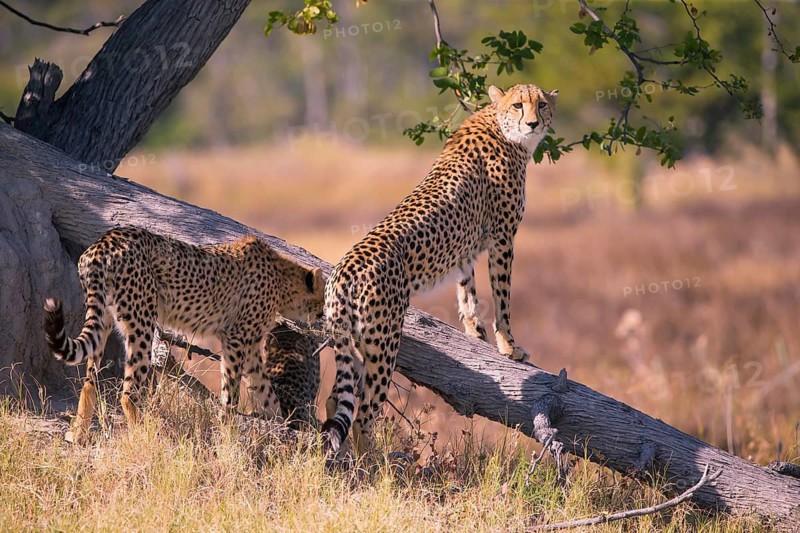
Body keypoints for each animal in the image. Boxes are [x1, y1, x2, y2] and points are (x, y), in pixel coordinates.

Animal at [44, 226, 324, 443]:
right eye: (322, 298)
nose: (324, 314)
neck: (281, 279)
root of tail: (106, 240)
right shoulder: (234, 339)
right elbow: (231, 390)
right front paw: (228, 427)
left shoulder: (252, 348)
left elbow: (264, 388)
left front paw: (282, 423)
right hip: (142, 323)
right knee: (128, 392)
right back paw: (146, 435)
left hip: (104, 317)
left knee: (89, 381)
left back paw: (78, 433)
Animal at [322, 84, 557, 454]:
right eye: (519, 105)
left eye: (543, 104)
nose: (533, 123)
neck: (501, 127)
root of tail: (344, 268)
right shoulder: (502, 238)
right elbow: (502, 297)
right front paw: (509, 346)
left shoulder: (467, 248)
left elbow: (467, 289)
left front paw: (475, 332)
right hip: (384, 341)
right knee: (364, 416)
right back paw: (375, 462)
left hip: (350, 341)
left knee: (336, 401)